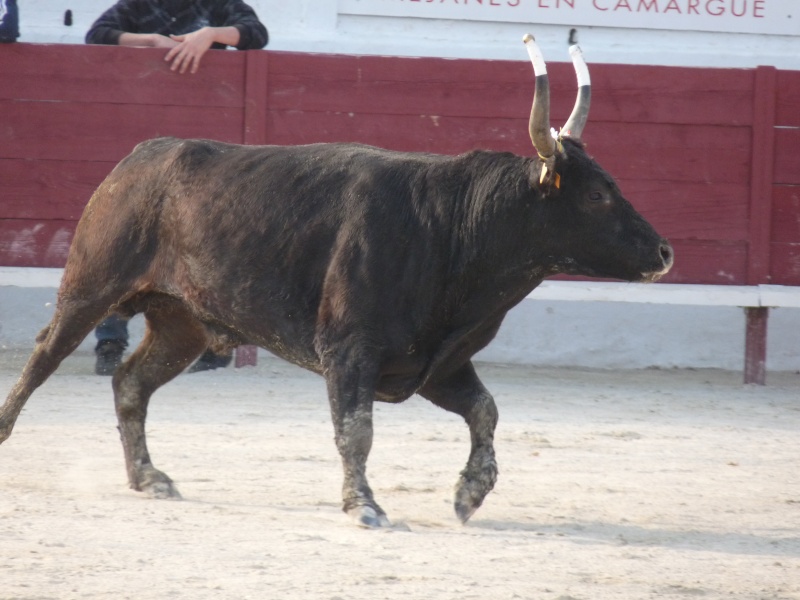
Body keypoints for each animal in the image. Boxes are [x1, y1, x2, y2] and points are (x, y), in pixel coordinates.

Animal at [0, 36, 672, 524]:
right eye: (595, 195)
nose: (664, 252)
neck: (456, 229)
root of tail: (139, 157)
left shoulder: (436, 360)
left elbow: (485, 411)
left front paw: (469, 494)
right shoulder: (350, 350)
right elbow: (357, 431)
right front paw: (366, 506)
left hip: (181, 321)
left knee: (132, 382)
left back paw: (151, 478)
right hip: (91, 287)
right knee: (44, 356)